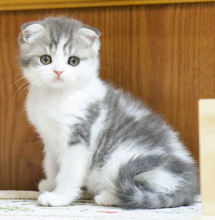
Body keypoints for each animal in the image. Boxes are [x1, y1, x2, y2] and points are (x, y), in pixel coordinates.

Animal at [17, 16, 199, 208]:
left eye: (73, 61)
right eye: (46, 59)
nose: (58, 71)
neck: (57, 96)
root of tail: (189, 181)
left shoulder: (79, 138)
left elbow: (69, 172)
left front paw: (59, 197)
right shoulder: (50, 140)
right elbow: (51, 165)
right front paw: (50, 185)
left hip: (123, 157)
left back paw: (108, 197)